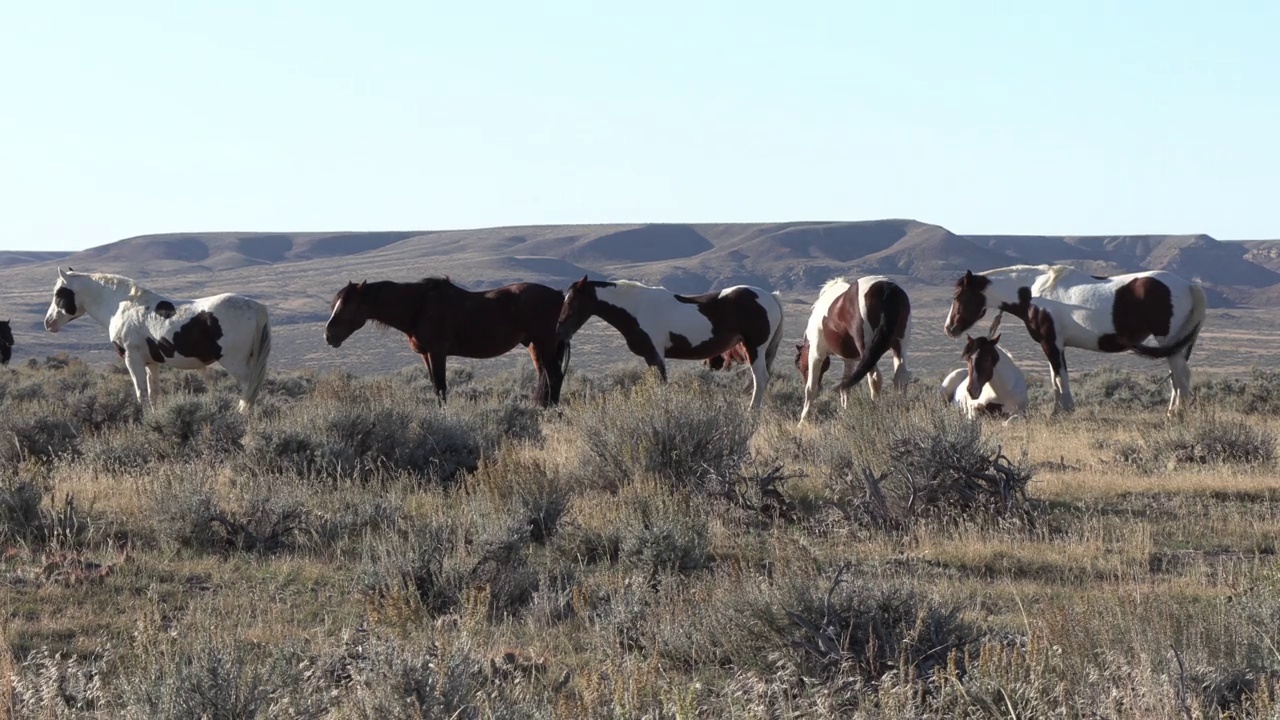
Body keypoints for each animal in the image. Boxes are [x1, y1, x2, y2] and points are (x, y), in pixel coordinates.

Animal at [325, 274, 570, 404]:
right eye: (335, 304)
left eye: (347, 306)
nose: (328, 335)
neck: (418, 307)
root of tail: (560, 296)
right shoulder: (426, 355)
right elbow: (435, 387)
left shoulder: (437, 352)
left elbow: (442, 387)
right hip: (534, 345)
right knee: (545, 377)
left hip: (544, 343)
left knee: (554, 377)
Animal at [555, 274, 783, 407]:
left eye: (572, 301)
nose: (560, 331)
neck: (637, 307)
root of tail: (770, 296)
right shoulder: (652, 357)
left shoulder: (655, 355)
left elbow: (660, 384)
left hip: (754, 349)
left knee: (760, 379)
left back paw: (752, 412)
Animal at [793, 274, 916, 420]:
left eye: (799, 366)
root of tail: (886, 288)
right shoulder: (849, 360)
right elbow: (846, 387)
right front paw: (844, 412)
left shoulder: (816, 354)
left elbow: (811, 388)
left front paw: (803, 420)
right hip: (899, 346)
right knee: (900, 377)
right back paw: (900, 409)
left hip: (867, 348)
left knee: (875, 378)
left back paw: (876, 410)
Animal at [942, 263, 1208, 415]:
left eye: (957, 296)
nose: (949, 328)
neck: (1033, 292)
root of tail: (1190, 286)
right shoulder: (1054, 345)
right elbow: (1055, 378)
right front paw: (1058, 410)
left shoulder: (1051, 344)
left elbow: (1060, 377)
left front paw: (1063, 411)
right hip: (1179, 346)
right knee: (1178, 378)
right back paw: (1173, 412)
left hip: (1169, 341)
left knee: (1181, 378)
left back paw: (1177, 415)